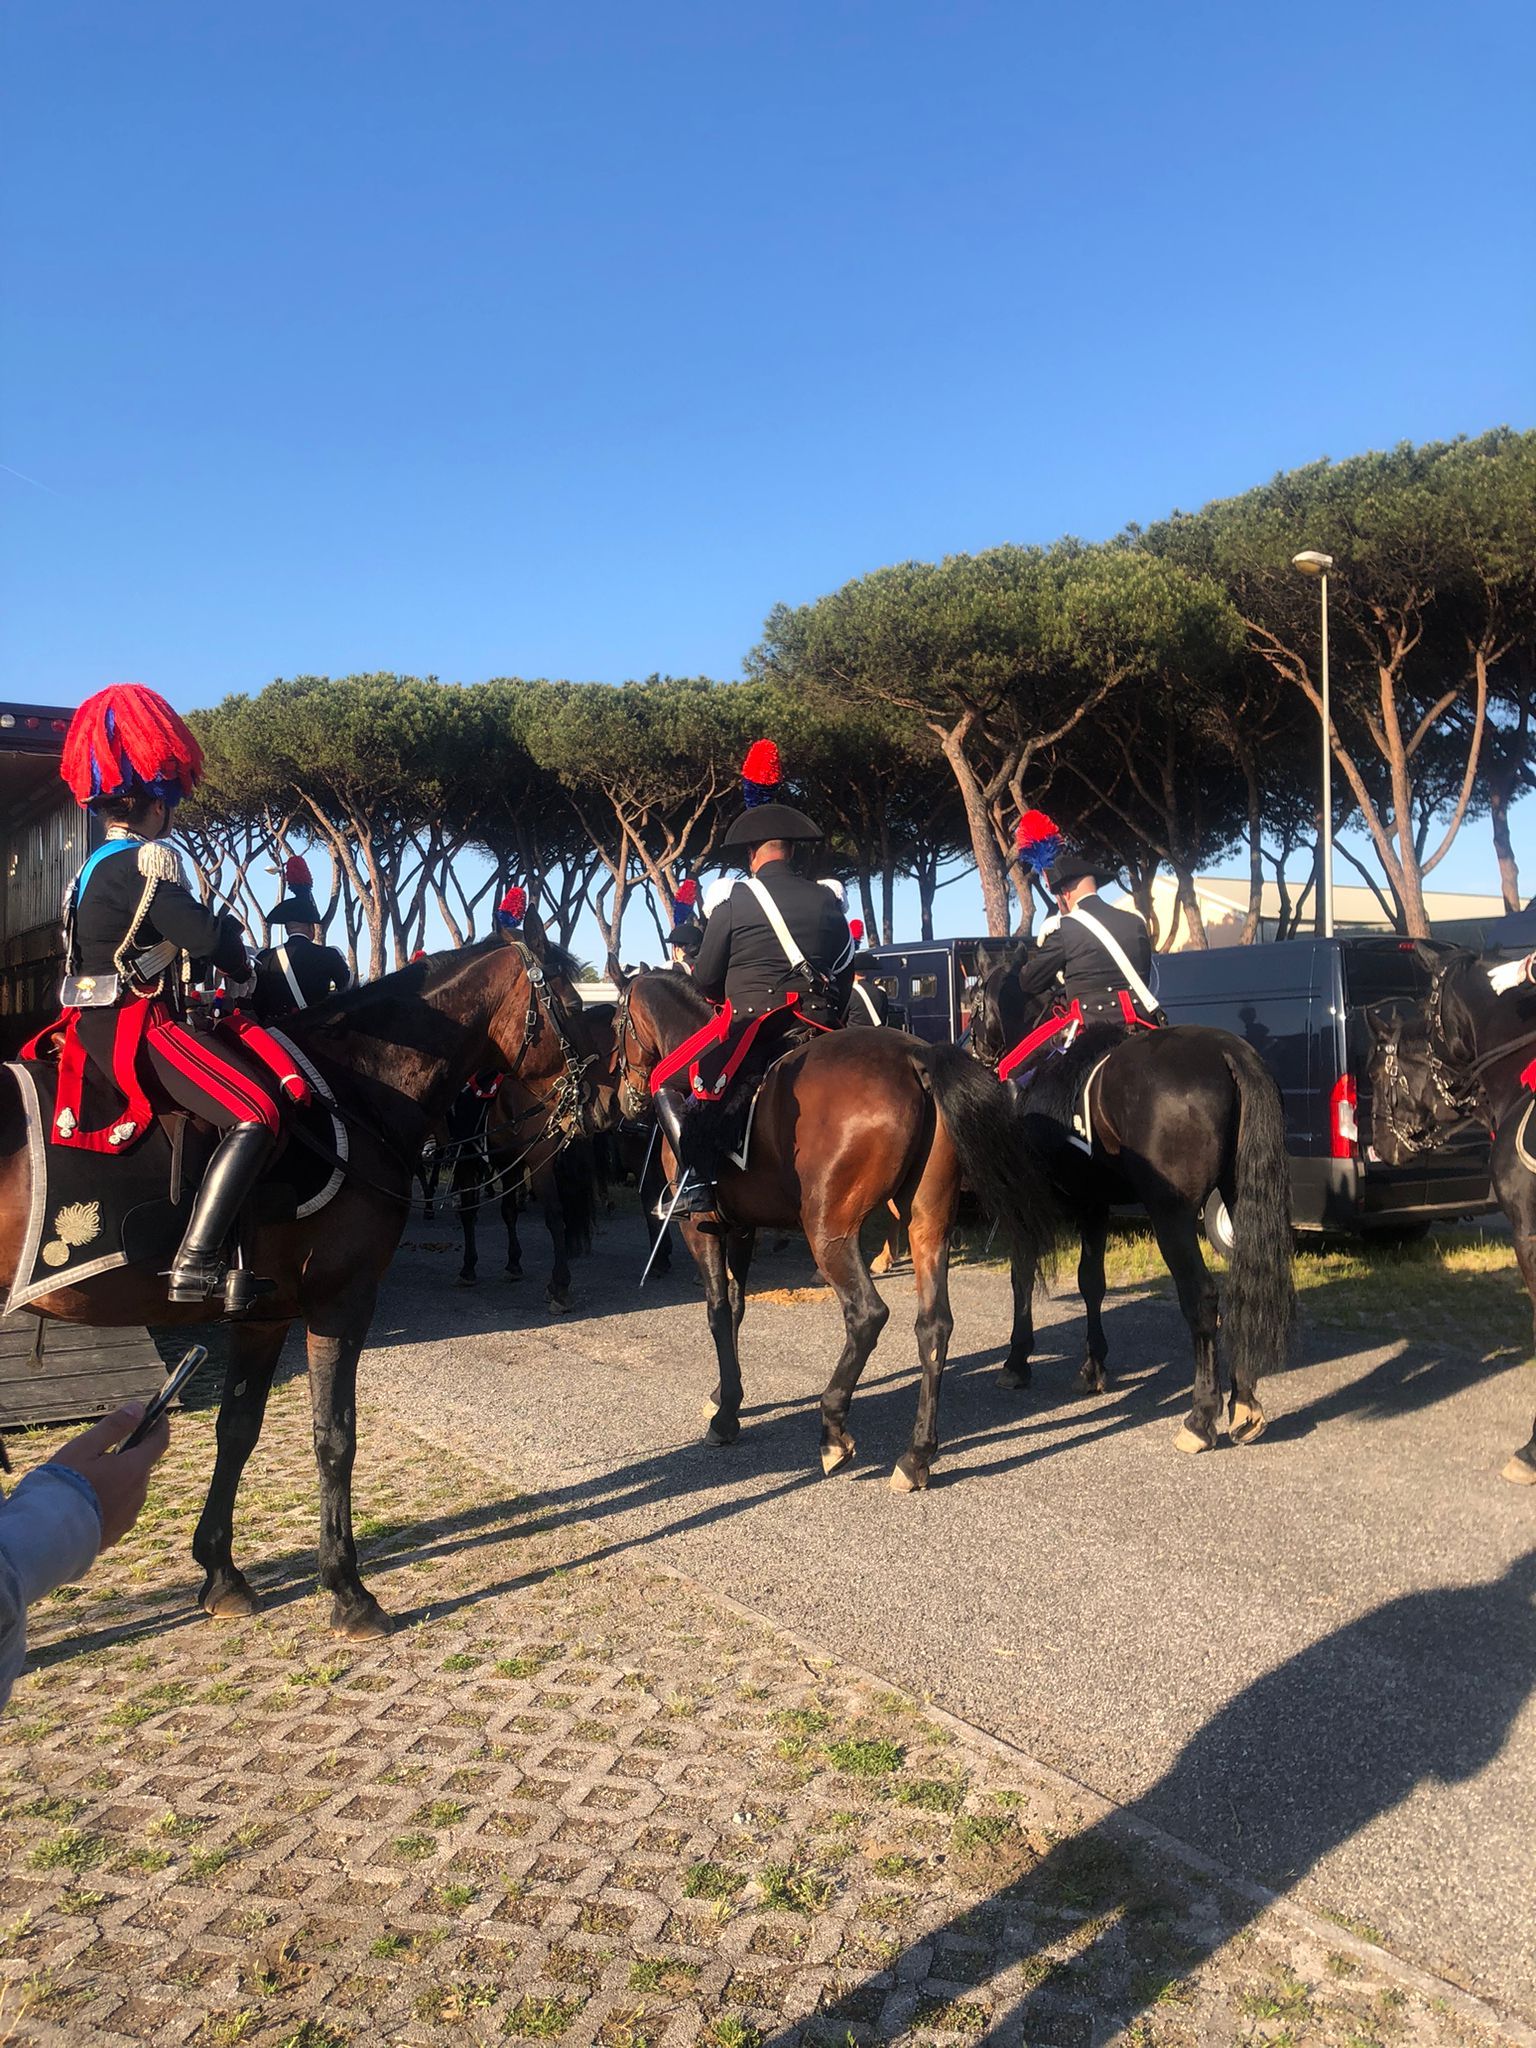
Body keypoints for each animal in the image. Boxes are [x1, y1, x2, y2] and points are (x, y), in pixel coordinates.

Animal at [0, 937, 589, 1638]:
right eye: (573, 1003)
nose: (591, 1106)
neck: (359, 1090)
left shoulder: (263, 1316)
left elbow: (238, 1429)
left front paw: (222, 1574)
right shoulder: (341, 1303)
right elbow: (335, 1436)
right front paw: (347, 1589)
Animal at [614, 966, 1056, 1482]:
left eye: (617, 1024)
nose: (626, 1104)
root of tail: (915, 1057)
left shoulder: (700, 1227)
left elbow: (718, 1311)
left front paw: (725, 1417)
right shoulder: (742, 1226)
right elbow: (738, 1308)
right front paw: (725, 1395)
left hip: (828, 1232)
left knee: (867, 1315)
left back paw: (833, 1430)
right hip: (927, 1224)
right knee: (934, 1325)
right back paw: (917, 1455)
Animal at [974, 962, 1302, 1458]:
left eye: (974, 1000)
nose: (975, 1047)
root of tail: (1228, 1052)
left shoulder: (1029, 1206)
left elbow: (1022, 1277)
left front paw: (1016, 1361)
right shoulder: (1093, 1204)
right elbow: (1091, 1282)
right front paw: (1093, 1367)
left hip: (1172, 1215)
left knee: (1202, 1298)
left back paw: (1200, 1418)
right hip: (1238, 1198)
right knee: (1245, 1287)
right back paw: (1244, 1403)